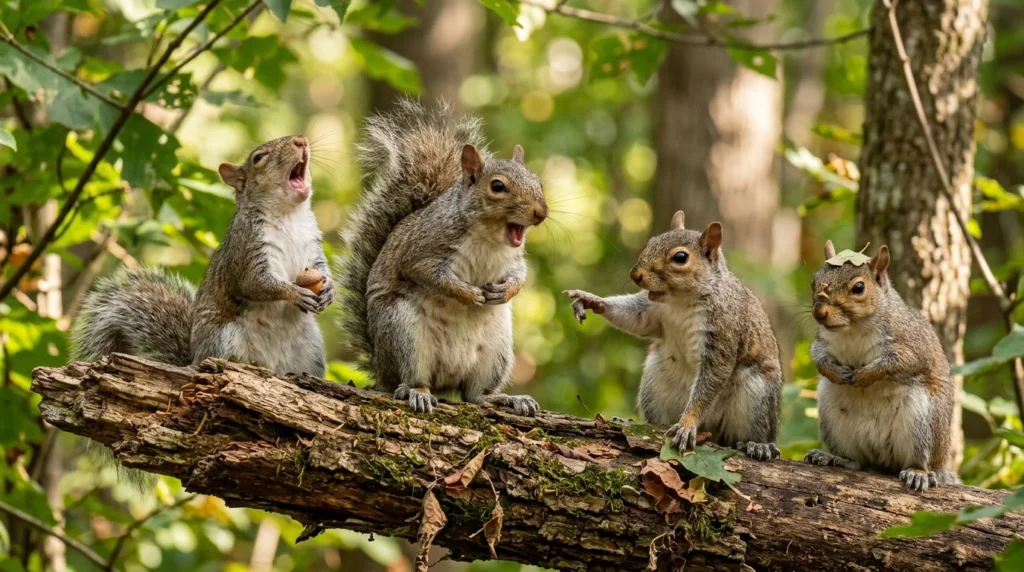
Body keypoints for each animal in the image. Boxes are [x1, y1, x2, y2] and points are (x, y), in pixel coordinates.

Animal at [73, 135, 333, 377]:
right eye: (258, 158)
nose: (301, 141)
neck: (288, 216)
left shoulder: (312, 245)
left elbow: (321, 268)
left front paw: (329, 288)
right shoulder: (245, 250)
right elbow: (254, 283)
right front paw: (295, 292)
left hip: (312, 351)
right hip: (224, 338)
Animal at [339, 99, 547, 416]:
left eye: (538, 182)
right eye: (497, 186)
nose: (540, 212)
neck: (489, 236)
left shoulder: (514, 259)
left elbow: (520, 274)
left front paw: (506, 290)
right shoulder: (423, 248)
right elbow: (426, 273)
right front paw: (468, 294)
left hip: (496, 351)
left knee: (474, 395)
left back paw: (507, 398)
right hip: (404, 333)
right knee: (413, 379)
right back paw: (417, 392)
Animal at [565, 211, 783, 460]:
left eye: (680, 257)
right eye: (651, 242)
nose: (635, 274)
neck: (680, 301)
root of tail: (710, 429)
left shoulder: (723, 331)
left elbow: (713, 377)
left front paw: (687, 425)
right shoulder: (651, 312)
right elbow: (633, 317)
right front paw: (590, 299)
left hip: (756, 394)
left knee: (749, 432)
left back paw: (758, 446)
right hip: (655, 384)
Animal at [803, 241, 956, 492]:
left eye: (858, 288)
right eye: (814, 282)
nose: (819, 312)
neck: (853, 329)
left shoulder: (913, 345)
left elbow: (900, 363)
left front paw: (865, 375)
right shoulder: (822, 342)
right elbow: (818, 357)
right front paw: (836, 372)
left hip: (924, 420)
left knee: (922, 462)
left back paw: (919, 473)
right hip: (831, 416)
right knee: (858, 461)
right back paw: (835, 457)